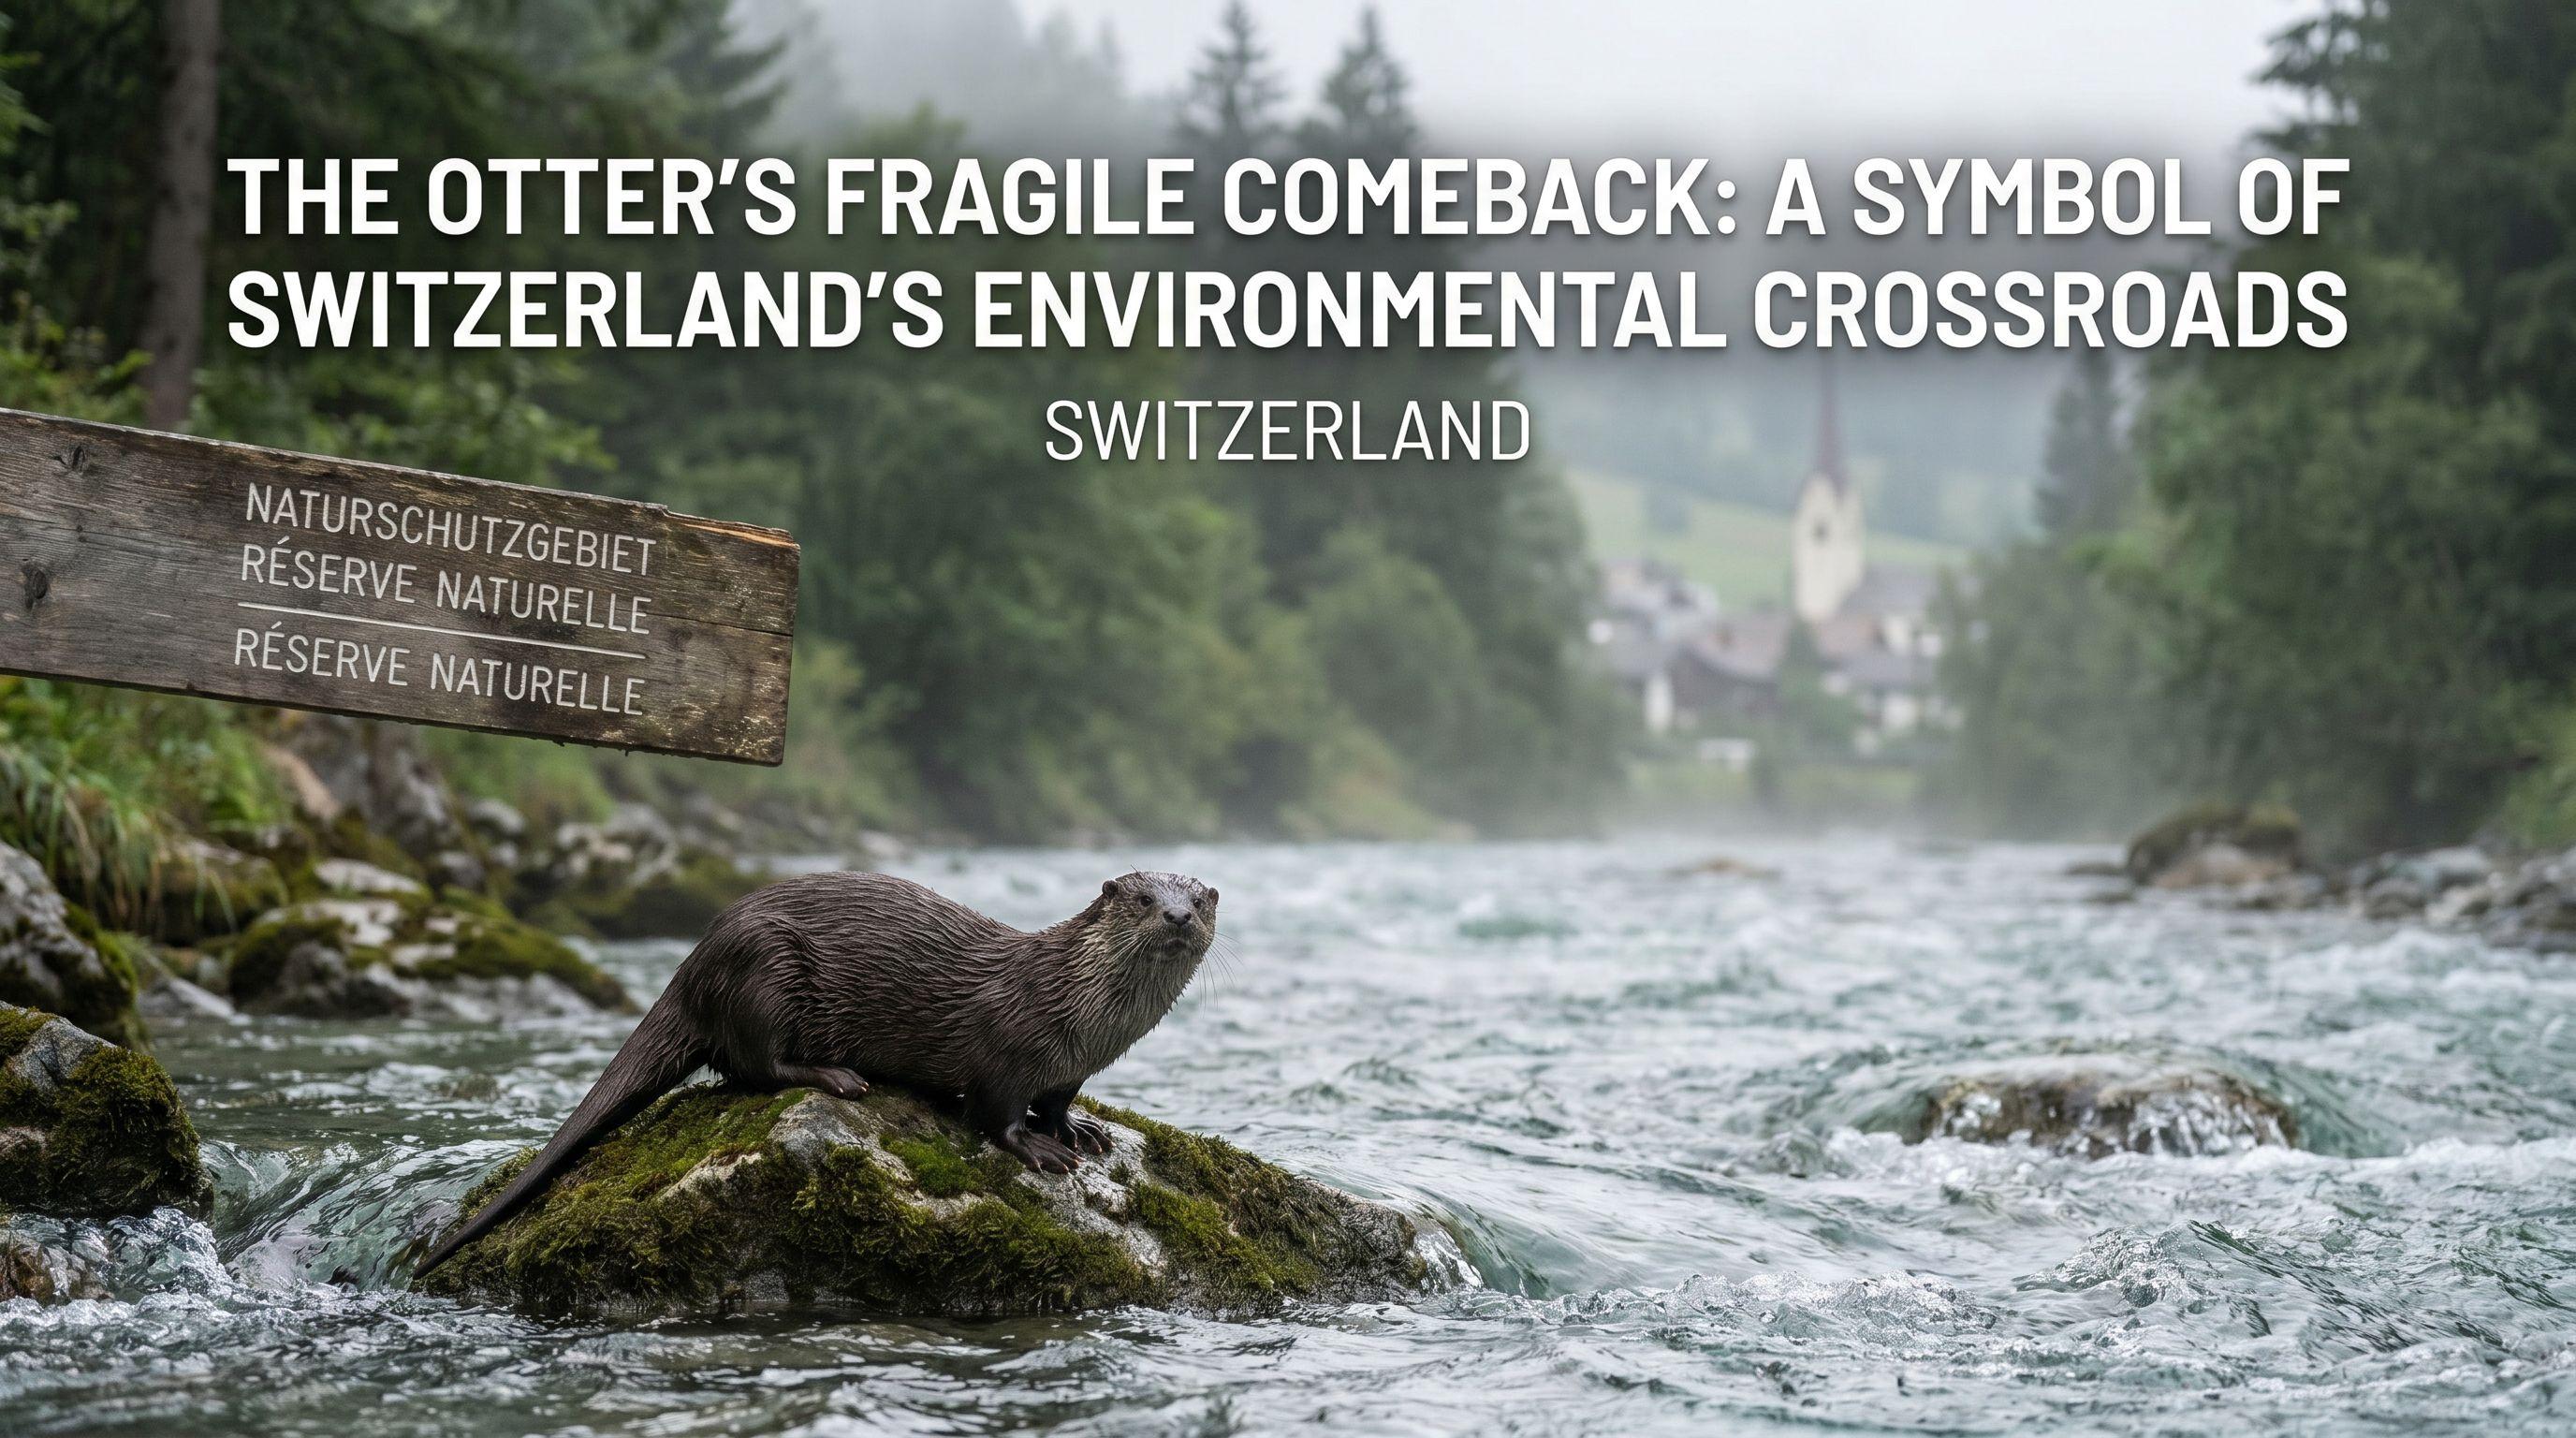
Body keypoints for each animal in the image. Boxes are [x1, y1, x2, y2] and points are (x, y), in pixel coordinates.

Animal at [414, 869, 1217, 1278]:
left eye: (1201, 899)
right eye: (1144, 899)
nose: (1178, 917)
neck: (1079, 1012)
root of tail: (693, 965)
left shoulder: (1069, 1068)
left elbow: (1056, 1102)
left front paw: (1079, 1131)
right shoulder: (1006, 1051)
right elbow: (994, 1114)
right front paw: (1040, 1149)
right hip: (765, 973)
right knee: (753, 1065)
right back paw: (837, 1077)